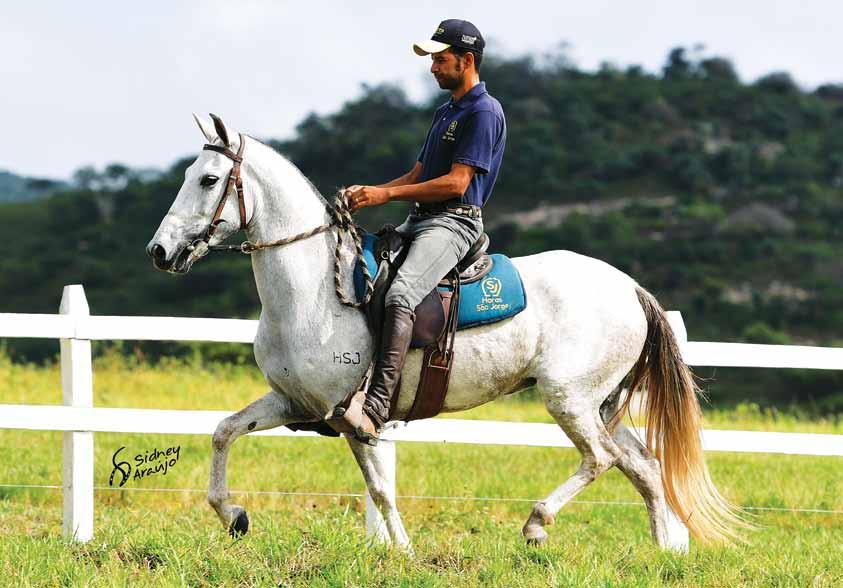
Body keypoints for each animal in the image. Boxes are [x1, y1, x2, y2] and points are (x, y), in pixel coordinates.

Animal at [148, 115, 740, 552]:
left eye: (207, 179)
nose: (159, 251)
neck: (315, 292)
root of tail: (631, 289)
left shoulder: (354, 417)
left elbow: (380, 489)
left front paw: (404, 552)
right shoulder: (295, 402)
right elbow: (223, 432)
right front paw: (234, 515)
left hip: (569, 398)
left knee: (602, 459)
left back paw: (536, 524)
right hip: (605, 402)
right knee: (644, 467)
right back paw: (665, 551)